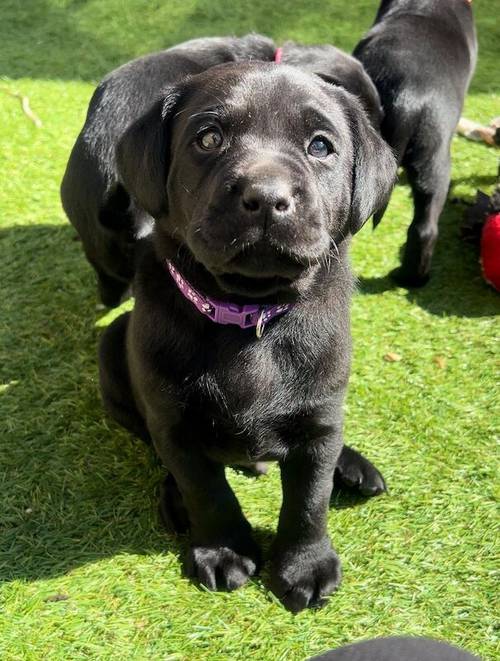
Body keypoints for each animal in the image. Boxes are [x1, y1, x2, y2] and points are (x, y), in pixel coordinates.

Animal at [96, 59, 394, 612]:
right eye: (208, 138)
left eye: (320, 146)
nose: (267, 197)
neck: (250, 318)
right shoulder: (175, 424)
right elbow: (206, 489)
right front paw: (224, 550)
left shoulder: (320, 416)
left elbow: (309, 499)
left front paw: (306, 565)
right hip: (112, 353)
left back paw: (352, 466)